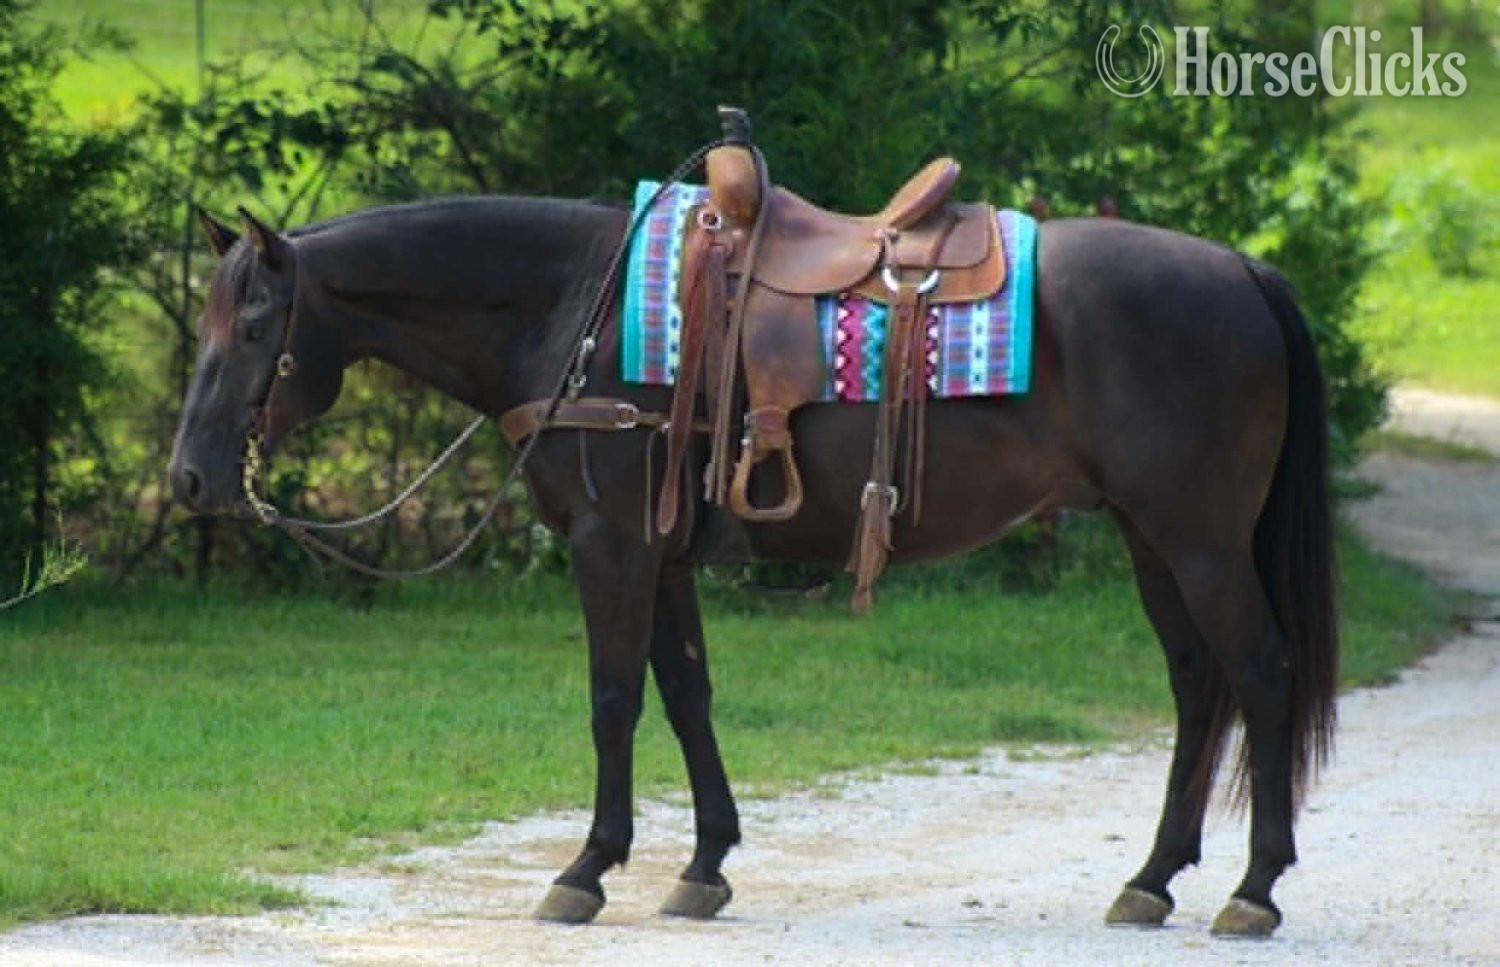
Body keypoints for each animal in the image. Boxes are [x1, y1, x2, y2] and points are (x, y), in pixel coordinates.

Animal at [168, 191, 1336, 938]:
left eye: (258, 322)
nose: (188, 478)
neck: (576, 311)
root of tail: (1242, 269)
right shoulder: (666, 555)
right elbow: (687, 694)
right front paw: (702, 866)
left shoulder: (611, 546)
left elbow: (613, 700)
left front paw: (587, 869)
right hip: (1152, 537)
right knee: (1199, 687)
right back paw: (1153, 880)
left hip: (1199, 541)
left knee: (1261, 672)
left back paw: (1255, 890)